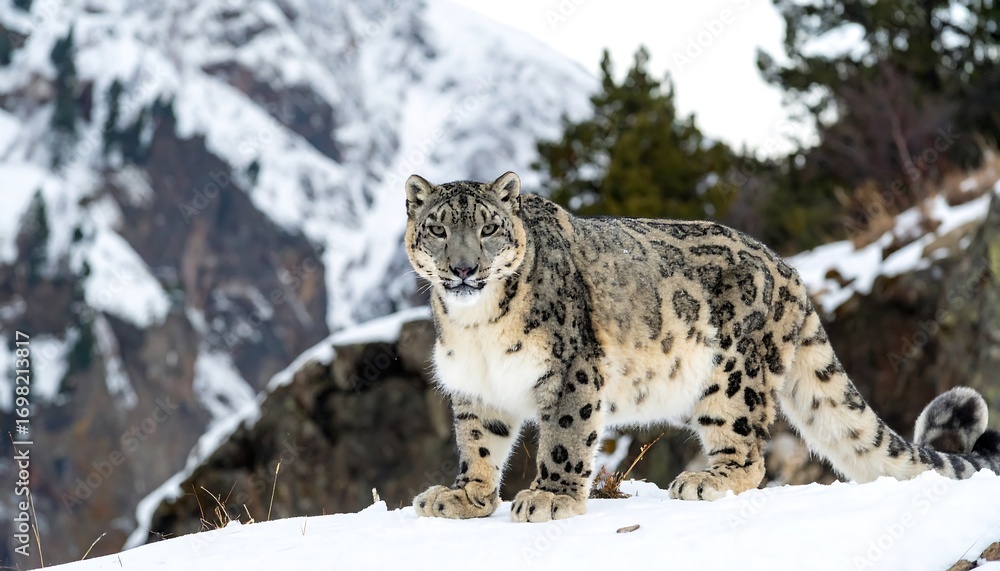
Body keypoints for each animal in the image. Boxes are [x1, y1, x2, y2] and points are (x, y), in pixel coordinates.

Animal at [403, 171, 1000, 523]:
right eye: (438, 229)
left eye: (488, 230)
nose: (463, 268)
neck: (476, 327)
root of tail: (790, 271)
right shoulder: (476, 387)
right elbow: (479, 444)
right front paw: (463, 496)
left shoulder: (574, 370)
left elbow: (565, 438)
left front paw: (550, 497)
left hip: (732, 378)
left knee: (750, 455)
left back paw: (704, 481)